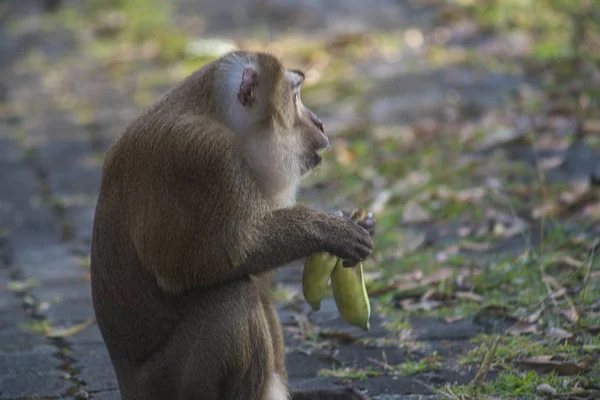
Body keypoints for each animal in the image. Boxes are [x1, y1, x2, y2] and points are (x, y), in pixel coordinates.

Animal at [90, 50, 376, 400]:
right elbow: (213, 260)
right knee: (234, 299)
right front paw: (331, 230)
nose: (320, 122)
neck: (220, 118)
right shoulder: (208, 160)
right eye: (295, 97)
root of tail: (128, 389)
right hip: (167, 384)